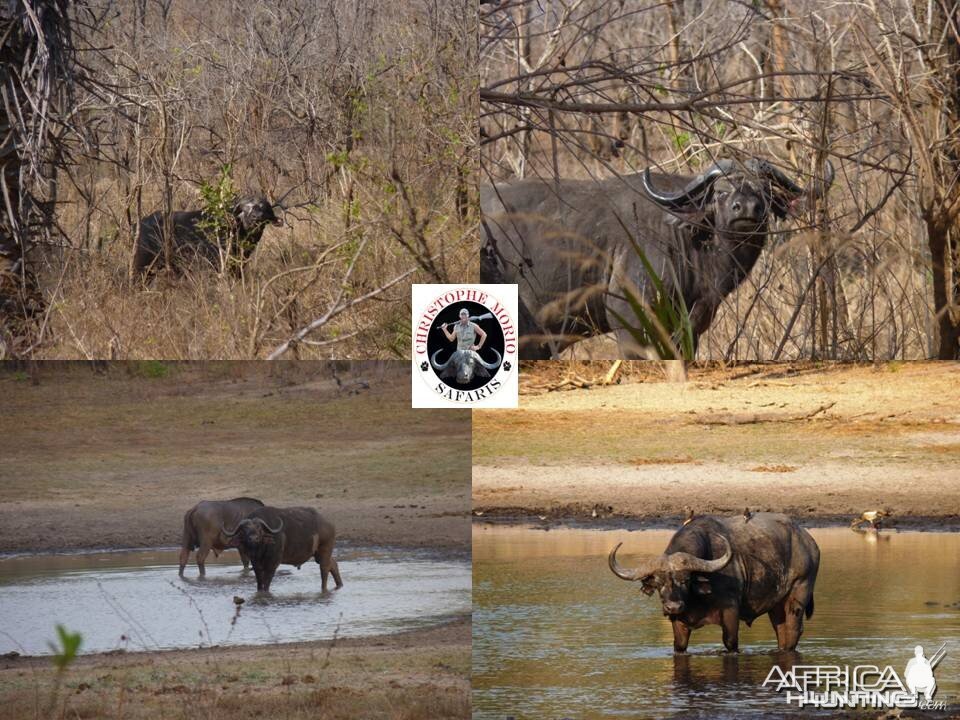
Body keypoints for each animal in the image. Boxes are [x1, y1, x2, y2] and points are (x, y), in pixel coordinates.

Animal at [612, 512, 820, 652]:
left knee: (793, 631)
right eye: (658, 583)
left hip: (799, 593)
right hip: (776, 607)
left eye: (685, 580)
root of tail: (809, 542)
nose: (673, 606)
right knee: (782, 632)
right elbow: (679, 645)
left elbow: (730, 642)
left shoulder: (730, 611)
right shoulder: (678, 622)